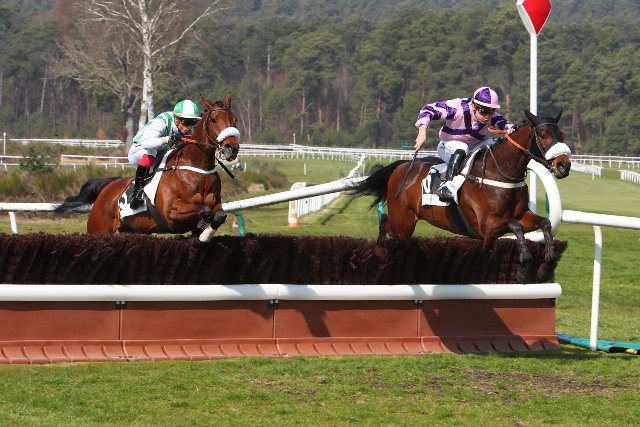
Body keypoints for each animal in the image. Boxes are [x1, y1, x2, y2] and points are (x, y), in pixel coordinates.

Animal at [55, 93, 240, 243]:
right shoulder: (171, 212)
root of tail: (108, 188)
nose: (232, 148)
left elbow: (219, 214)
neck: (197, 171)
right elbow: (205, 210)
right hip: (98, 228)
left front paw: (202, 235)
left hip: (131, 230)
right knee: (148, 152)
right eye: (214, 119)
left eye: (234, 120)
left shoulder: (217, 205)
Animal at [350, 109, 571, 283]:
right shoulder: (486, 225)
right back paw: (380, 253)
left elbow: (544, 223)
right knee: (385, 222)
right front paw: (525, 263)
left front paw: (548, 260)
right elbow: (515, 226)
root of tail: (403, 166)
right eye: (543, 134)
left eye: (561, 134)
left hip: (405, 226)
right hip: (402, 223)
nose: (563, 165)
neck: (499, 172)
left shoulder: (521, 215)